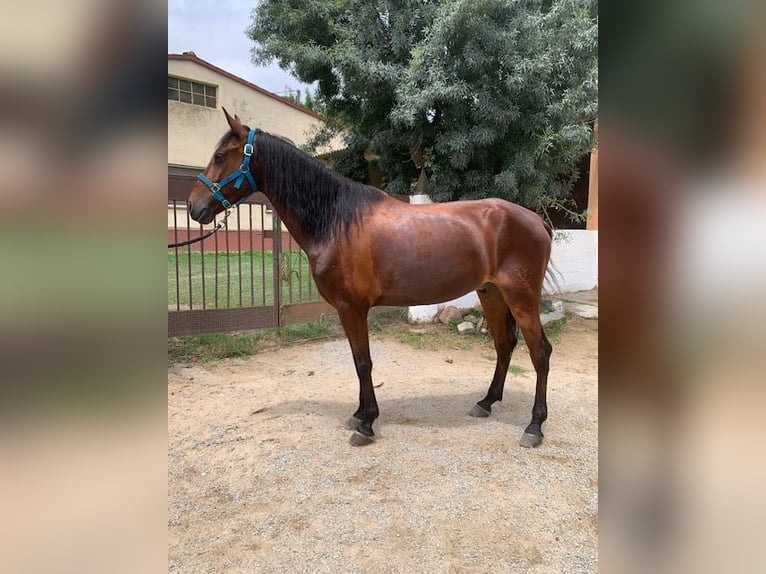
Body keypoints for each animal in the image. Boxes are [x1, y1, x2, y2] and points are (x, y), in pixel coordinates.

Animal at [189, 109, 556, 450]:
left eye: (220, 156)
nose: (194, 207)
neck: (336, 220)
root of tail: (535, 219)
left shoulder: (351, 307)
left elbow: (363, 362)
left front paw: (366, 424)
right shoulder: (349, 309)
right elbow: (357, 361)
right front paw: (359, 415)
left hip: (521, 296)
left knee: (540, 352)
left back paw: (534, 427)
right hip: (491, 292)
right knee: (504, 345)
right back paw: (486, 402)